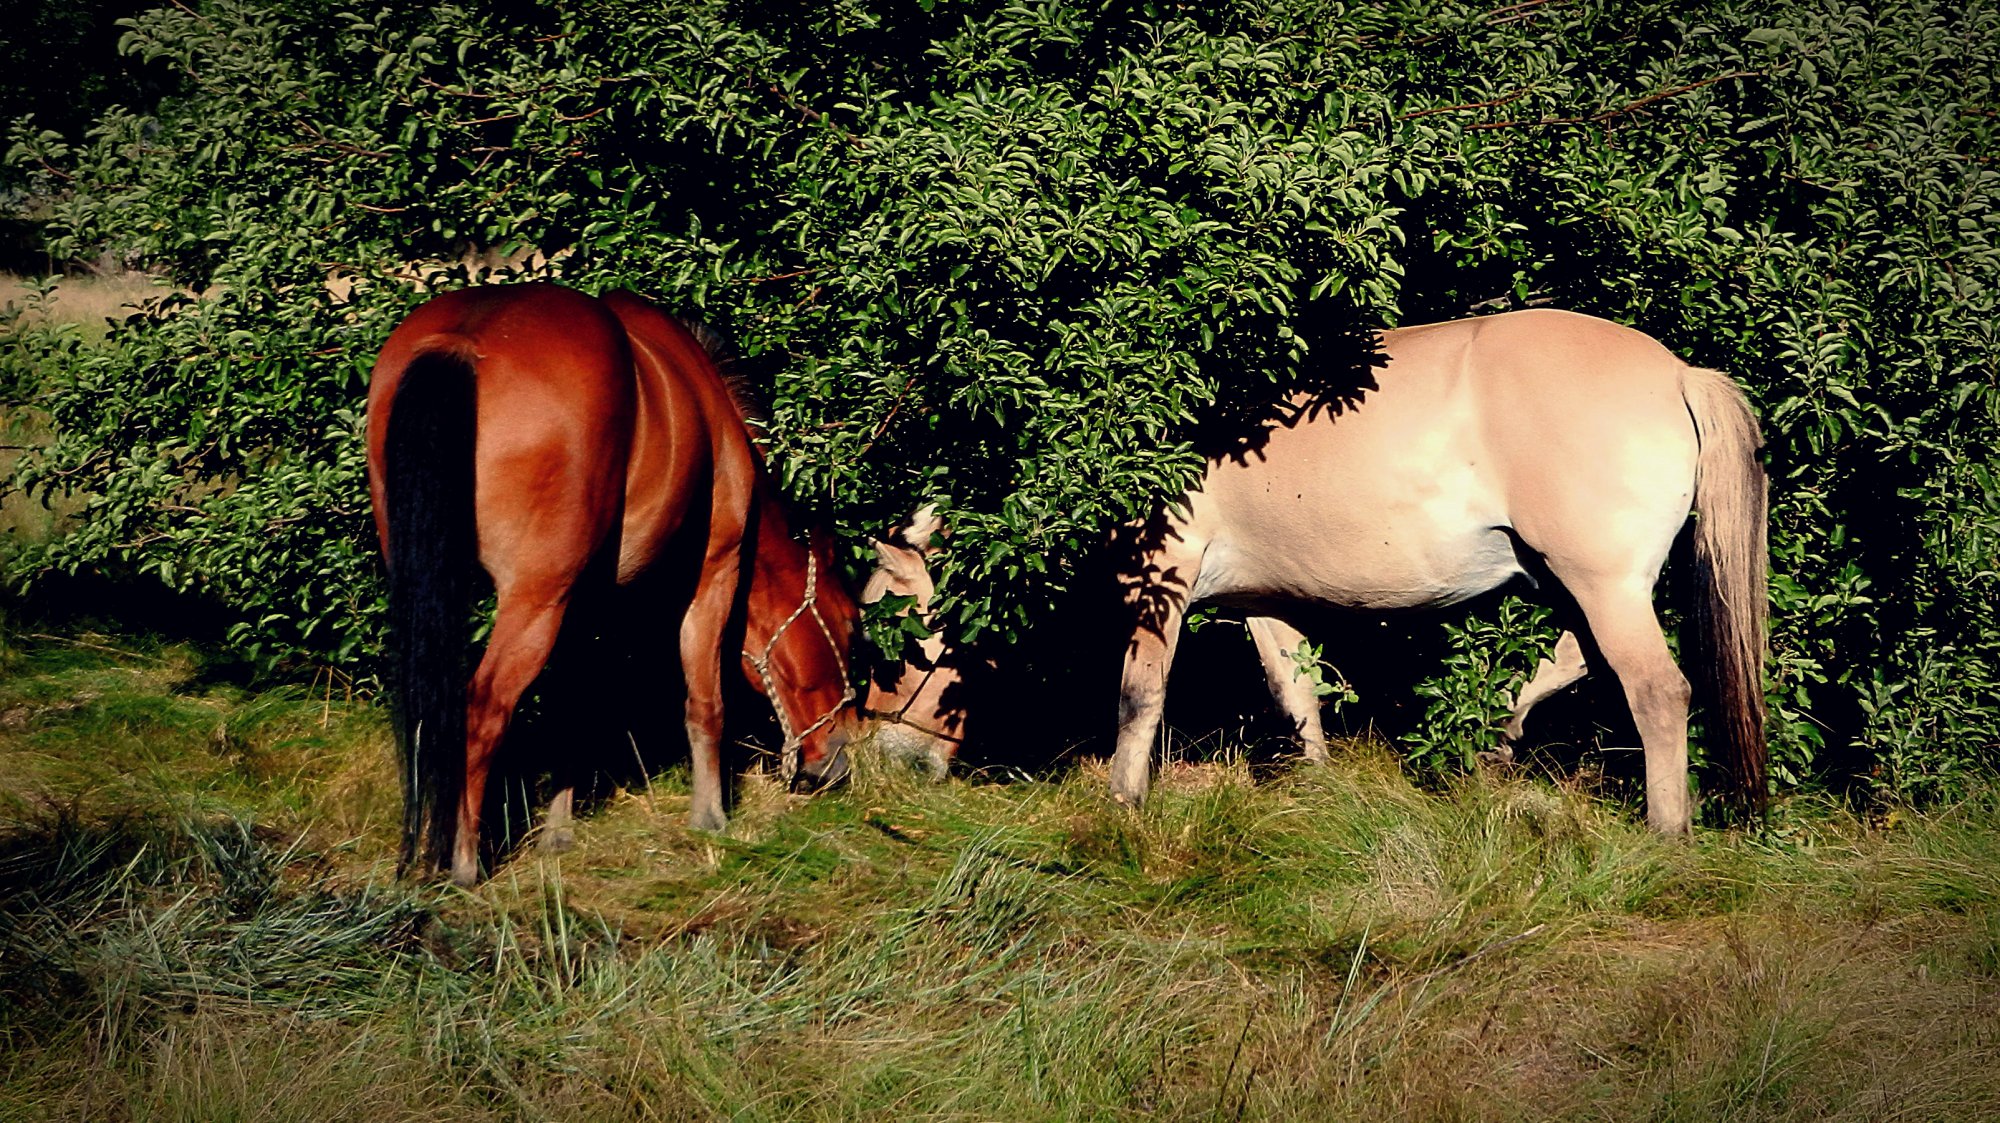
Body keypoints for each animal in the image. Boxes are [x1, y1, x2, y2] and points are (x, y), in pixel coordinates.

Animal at [368, 279, 860, 883]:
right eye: (848, 625)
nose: (837, 757)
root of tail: (461, 339)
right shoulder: (713, 573)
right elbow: (705, 702)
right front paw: (711, 817)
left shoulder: (584, 601)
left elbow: (572, 706)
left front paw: (557, 832)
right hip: (533, 600)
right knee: (483, 708)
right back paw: (464, 861)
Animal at [860, 305, 1768, 831]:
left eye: (888, 648)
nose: (882, 763)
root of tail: (1677, 373)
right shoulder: (1263, 601)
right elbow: (1294, 691)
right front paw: (1322, 788)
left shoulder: (1163, 579)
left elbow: (1139, 695)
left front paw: (1121, 804)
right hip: (1577, 582)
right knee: (1572, 665)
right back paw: (1495, 749)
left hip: (1599, 582)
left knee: (1656, 691)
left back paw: (1665, 831)